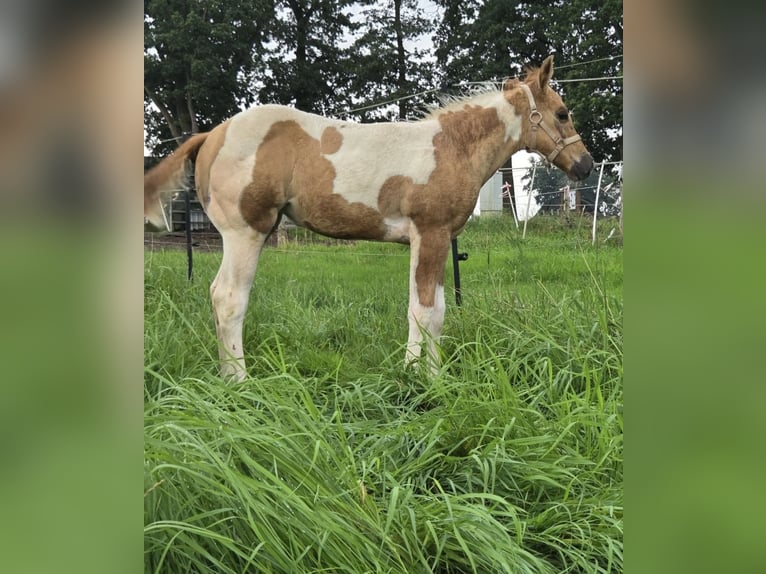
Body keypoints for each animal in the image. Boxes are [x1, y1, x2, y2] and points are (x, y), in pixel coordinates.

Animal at [144, 55, 594, 381]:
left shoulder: (431, 239)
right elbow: (425, 311)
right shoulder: (430, 233)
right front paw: (420, 379)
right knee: (228, 298)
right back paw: (238, 380)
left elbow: (435, 310)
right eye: (563, 113)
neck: (452, 146)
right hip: (244, 232)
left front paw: (430, 374)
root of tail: (211, 134)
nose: (585, 165)